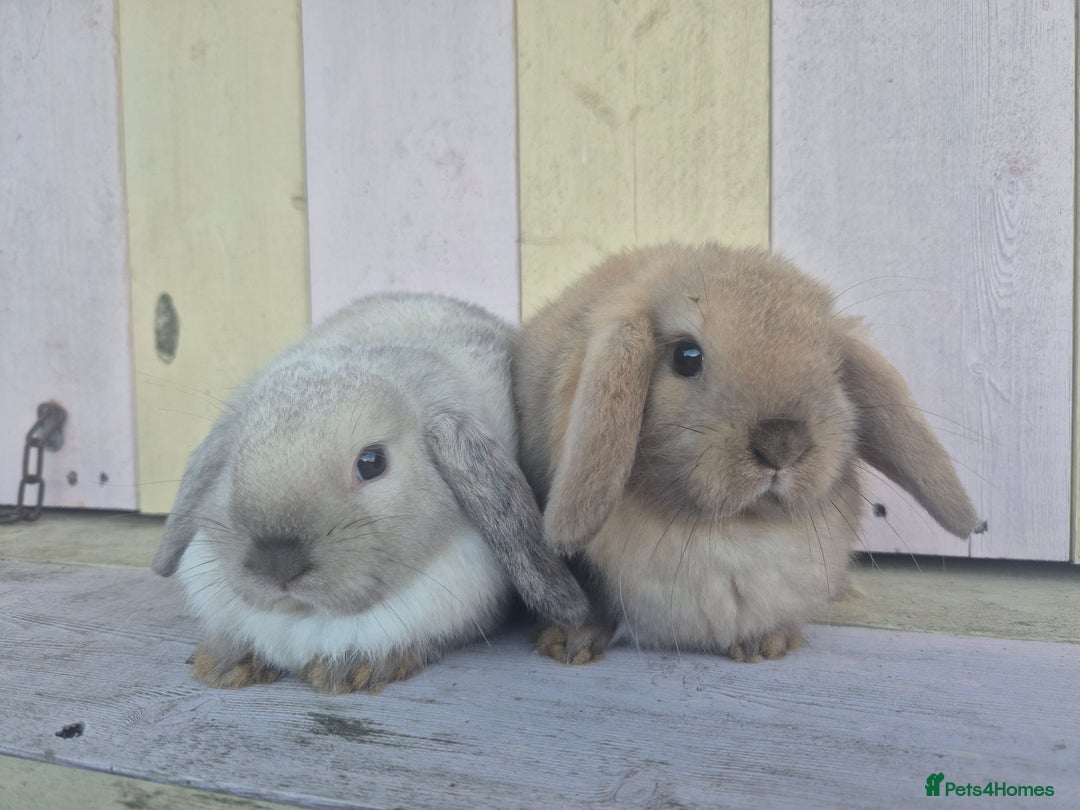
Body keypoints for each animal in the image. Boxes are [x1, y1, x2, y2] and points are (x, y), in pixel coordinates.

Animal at [512, 243, 985, 663]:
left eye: (834, 366)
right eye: (686, 356)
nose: (783, 443)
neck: (731, 528)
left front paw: (766, 643)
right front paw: (568, 645)